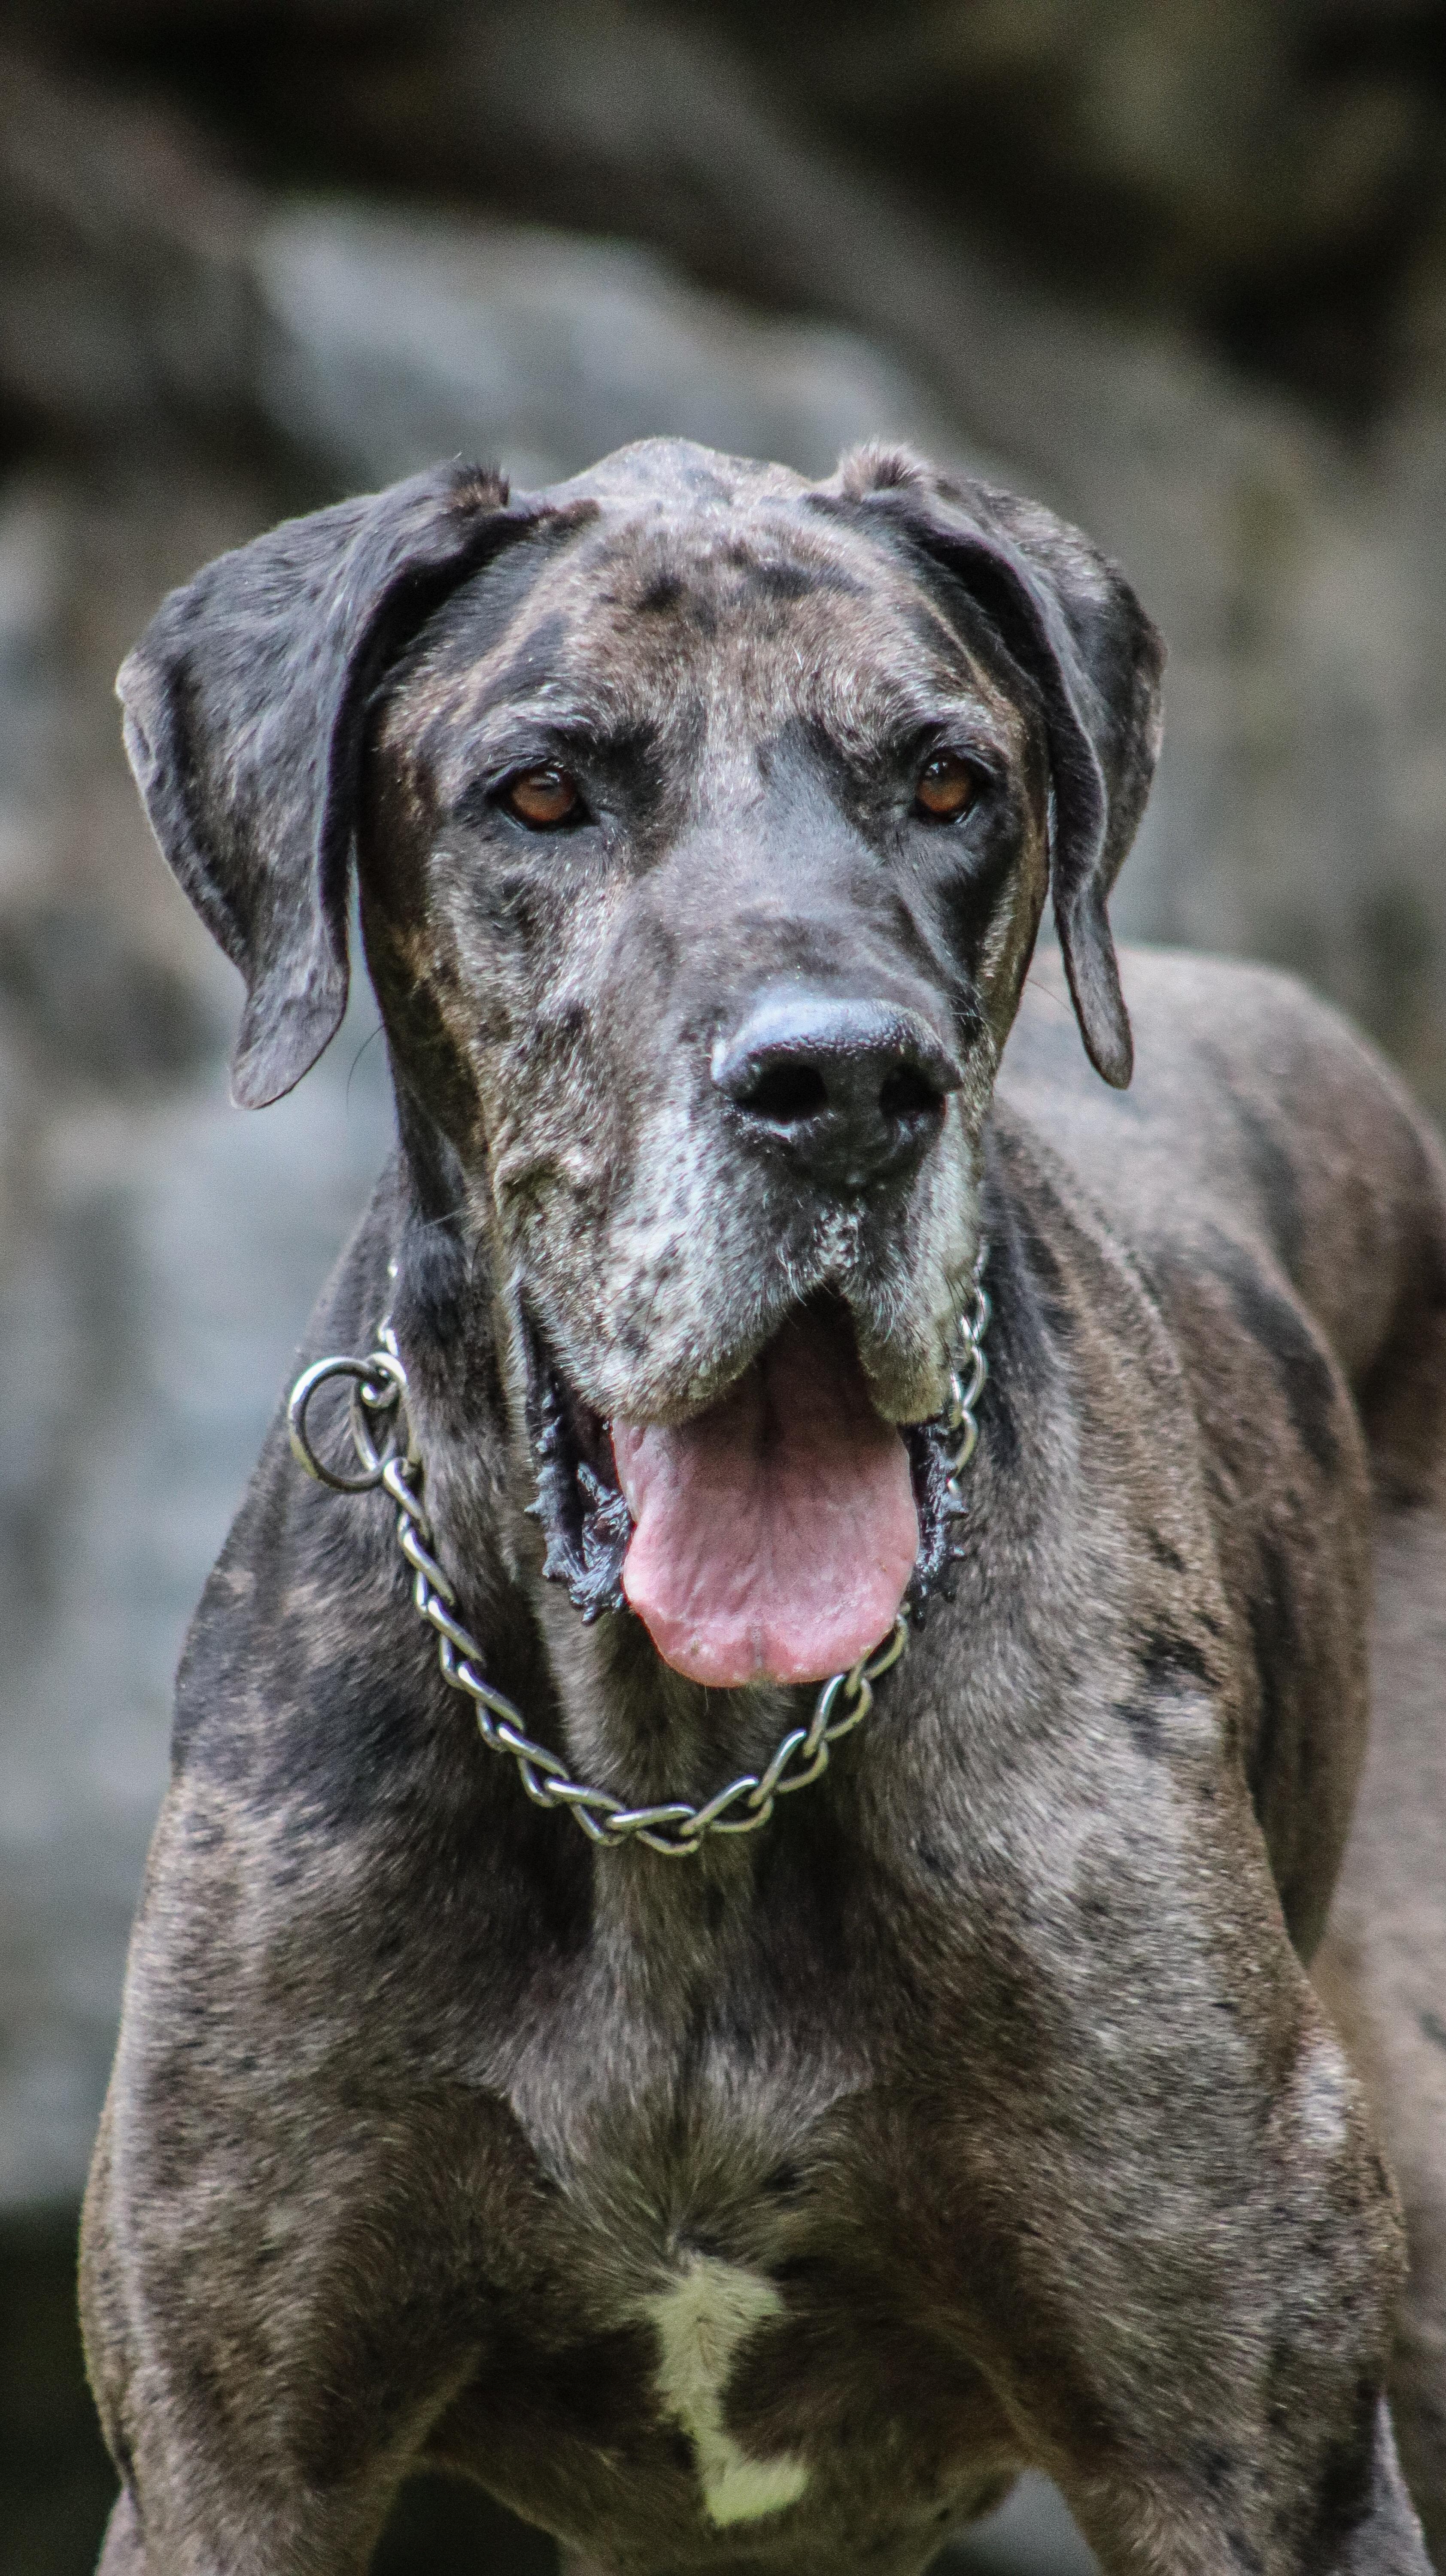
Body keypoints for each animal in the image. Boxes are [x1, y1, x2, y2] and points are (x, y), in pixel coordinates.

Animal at [82, 433, 1443, 2566]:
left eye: (950, 782)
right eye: (541, 790)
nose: (847, 1086)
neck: (677, 1781)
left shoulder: (1248, 2456)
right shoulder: (231, 2467)